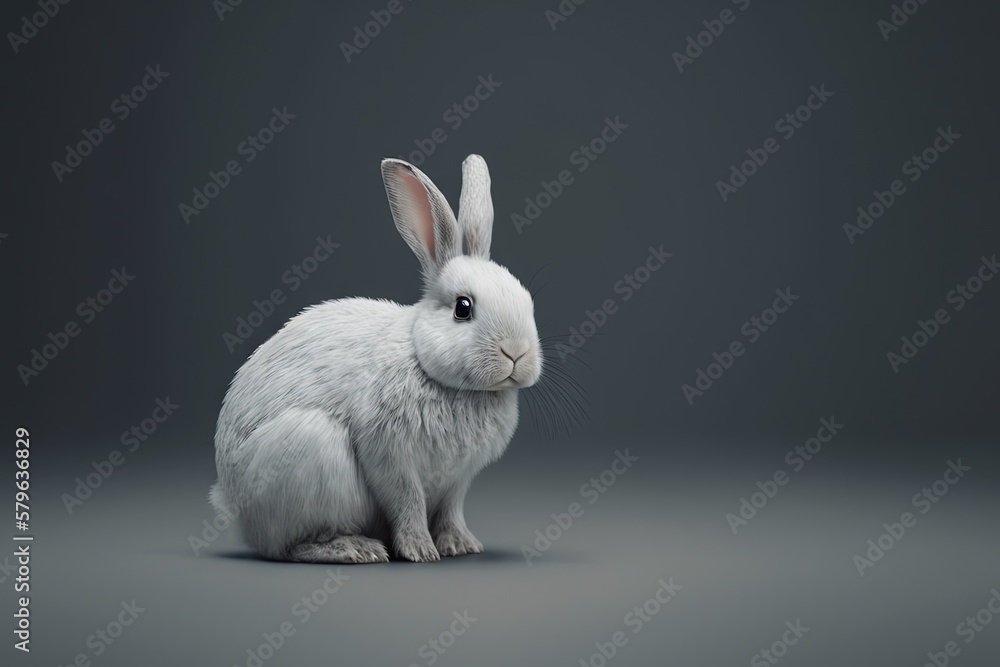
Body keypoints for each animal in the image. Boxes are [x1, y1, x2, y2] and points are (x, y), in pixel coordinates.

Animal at [207, 155, 544, 564]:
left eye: (527, 301)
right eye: (463, 308)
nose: (517, 353)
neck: (429, 366)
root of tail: (233, 505)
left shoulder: (457, 480)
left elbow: (450, 510)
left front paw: (460, 545)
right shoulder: (389, 457)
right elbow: (407, 503)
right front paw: (420, 551)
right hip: (309, 451)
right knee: (288, 547)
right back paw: (354, 548)